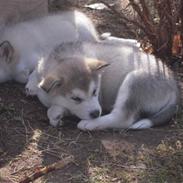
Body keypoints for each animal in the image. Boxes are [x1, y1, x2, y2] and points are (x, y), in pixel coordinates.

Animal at [25, 41, 179, 130]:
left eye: (95, 91)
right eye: (76, 98)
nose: (96, 113)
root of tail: (174, 85)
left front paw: (56, 113)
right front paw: (32, 86)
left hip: (135, 79)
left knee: (122, 118)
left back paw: (89, 125)